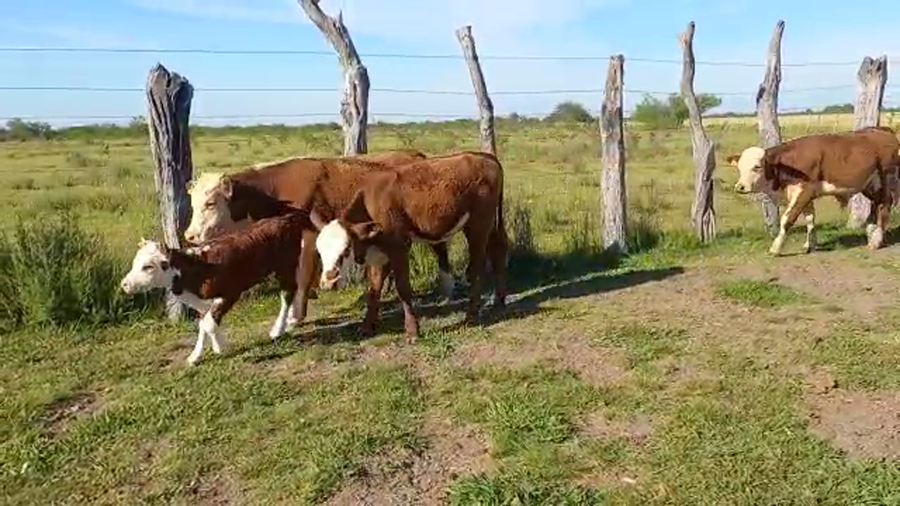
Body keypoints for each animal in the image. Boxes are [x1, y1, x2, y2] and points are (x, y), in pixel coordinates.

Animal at [120, 211, 316, 365]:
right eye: (135, 263)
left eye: (148, 266)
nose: (124, 284)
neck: (194, 270)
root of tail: (286, 218)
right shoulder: (202, 304)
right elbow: (204, 325)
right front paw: (196, 356)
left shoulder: (230, 293)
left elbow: (208, 324)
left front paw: (220, 347)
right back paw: (292, 319)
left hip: (285, 267)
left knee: (287, 293)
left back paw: (278, 329)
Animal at [182, 150, 460, 329]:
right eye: (192, 203)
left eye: (210, 203)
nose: (189, 235)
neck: (275, 192)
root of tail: (415, 156)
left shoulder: (308, 234)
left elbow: (303, 276)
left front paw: (296, 316)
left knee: (440, 247)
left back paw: (447, 287)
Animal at [313, 151, 508, 343]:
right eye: (320, 252)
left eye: (346, 249)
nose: (329, 282)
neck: (372, 203)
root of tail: (484, 156)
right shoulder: (380, 253)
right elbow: (374, 288)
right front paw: (366, 327)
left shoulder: (399, 247)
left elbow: (403, 288)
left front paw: (413, 331)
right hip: (490, 224)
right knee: (498, 250)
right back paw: (499, 301)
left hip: (478, 225)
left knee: (477, 267)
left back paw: (471, 316)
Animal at [726, 126, 900, 255]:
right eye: (739, 168)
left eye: (757, 167)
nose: (740, 187)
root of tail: (882, 130)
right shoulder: (806, 195)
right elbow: (810, 219)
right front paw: (810, 245)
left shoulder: (804, 191)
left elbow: (787, 219)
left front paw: (776, 248)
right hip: (869, 183)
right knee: (876, 204)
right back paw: (871, 232)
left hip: (886, 178)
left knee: (885, 204)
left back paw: (876, 241)